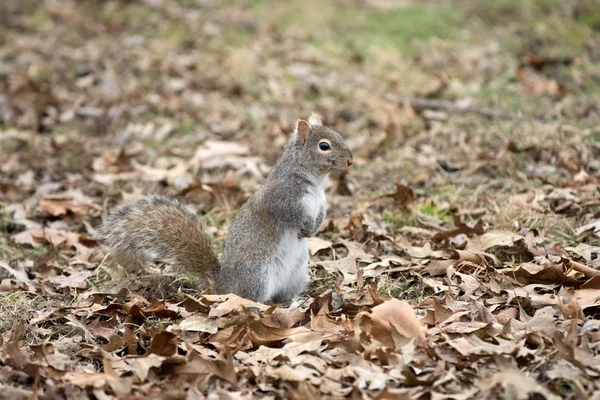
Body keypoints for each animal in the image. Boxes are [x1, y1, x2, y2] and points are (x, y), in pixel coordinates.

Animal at [98, 114, 352, 304]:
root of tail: (221, 286)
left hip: (297, 274)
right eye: (324, 146)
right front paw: (307, 226)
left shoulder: (321, 201)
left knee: (282, 296)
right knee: (250, 299)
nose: (350, 160)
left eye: (340, 136)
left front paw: (315, 227)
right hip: (257, 274)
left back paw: (294, 302)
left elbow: (321, 214)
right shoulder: (282, 197)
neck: (316, 182)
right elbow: (292, 214)